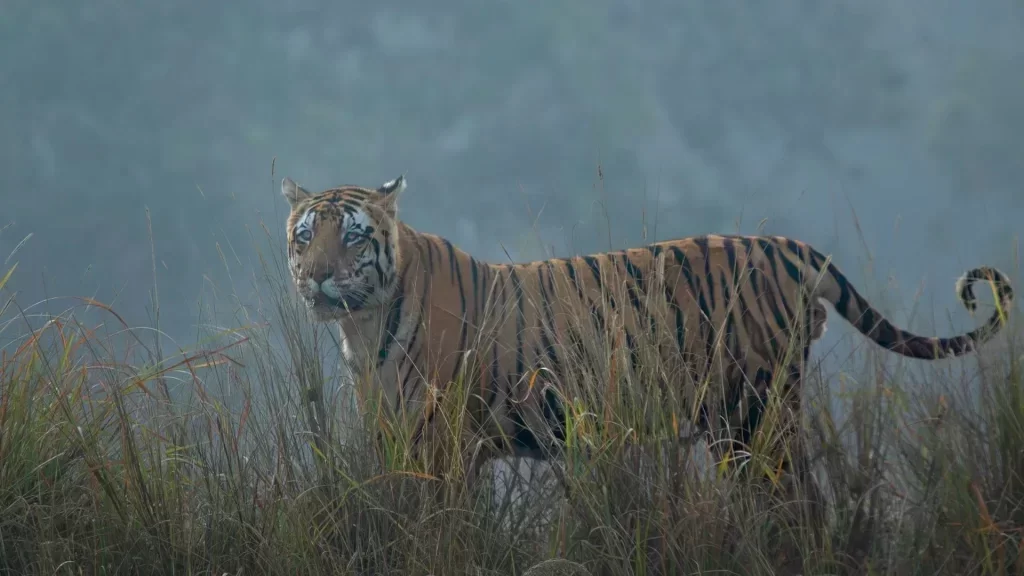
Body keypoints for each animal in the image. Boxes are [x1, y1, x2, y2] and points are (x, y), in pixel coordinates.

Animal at [280, 174, 1015, 493]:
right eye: (303, 236)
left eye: (352, 237)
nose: (315, 278)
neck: (361, 325)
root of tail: (787, 245)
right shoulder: (392, 435)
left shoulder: (443, 443)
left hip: (757, 409)